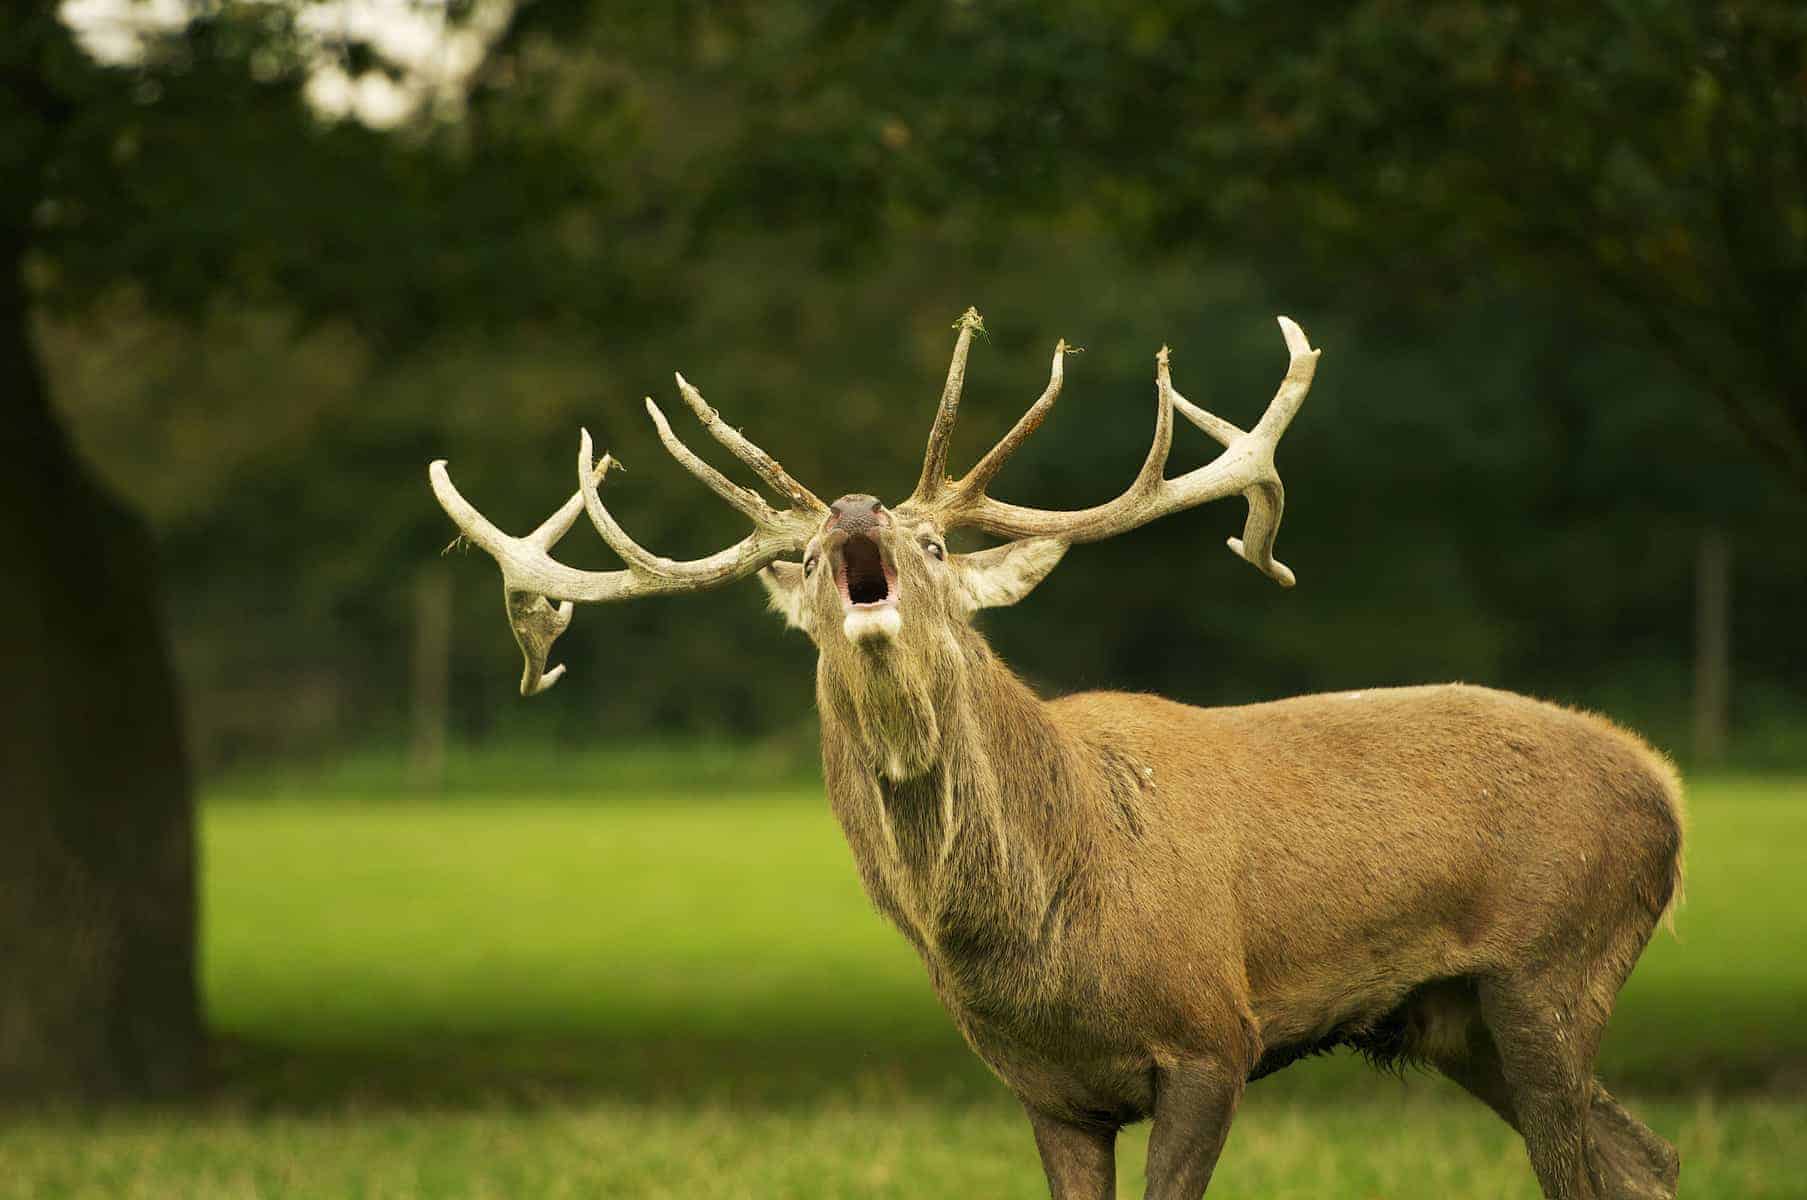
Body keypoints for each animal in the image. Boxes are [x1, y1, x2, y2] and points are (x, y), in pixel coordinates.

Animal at [428, 309, 1686, 1200]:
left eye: (936, 543)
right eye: (810, 560)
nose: (852, 512)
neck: (1047, 929)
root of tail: (1666, 792)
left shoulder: (1212, 1035)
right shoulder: (1045, 1091)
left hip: (1553, 962)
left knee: (1589, 1171)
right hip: (1457, 1017)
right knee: (1645, 1162)